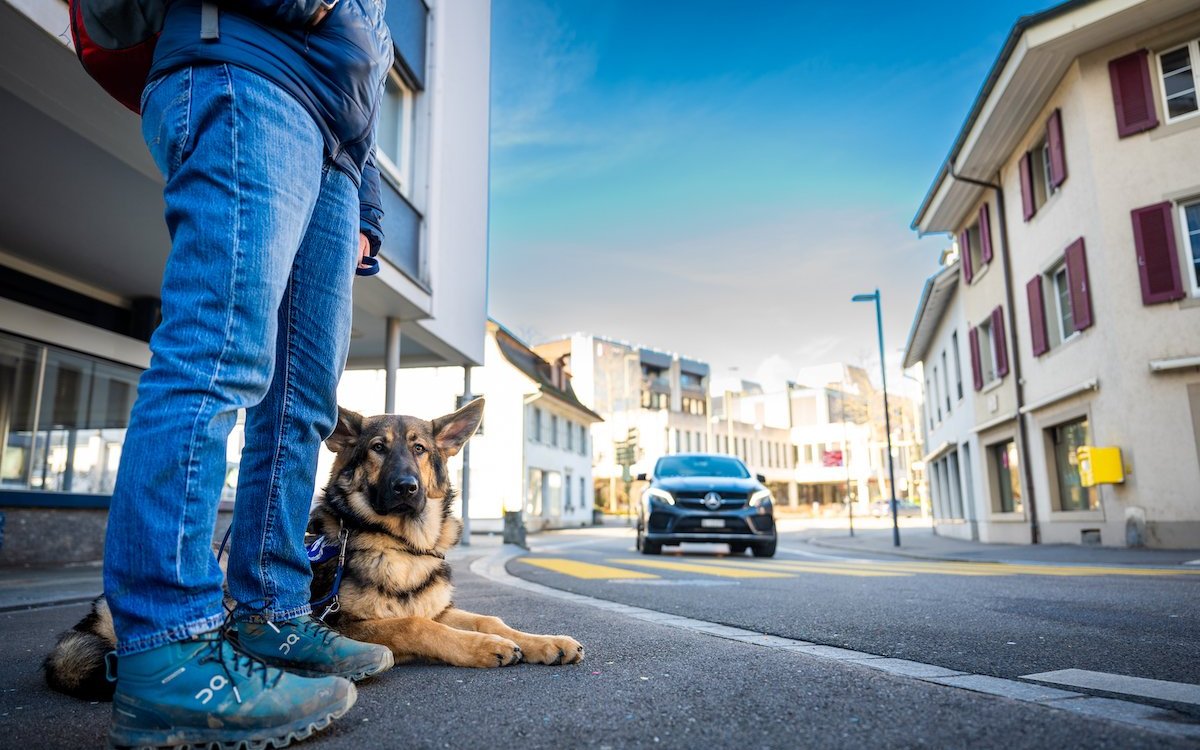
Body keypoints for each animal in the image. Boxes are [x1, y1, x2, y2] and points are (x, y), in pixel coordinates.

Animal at [45, 400, 585, 700]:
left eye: (419, 449)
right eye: (377, 448)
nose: (407, 488)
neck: (399, 543)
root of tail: (96, 610)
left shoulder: (441, 607)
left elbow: (489, 618)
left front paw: (544, 641)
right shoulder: (350, 623)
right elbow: (418, 626)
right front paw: (484, 648)